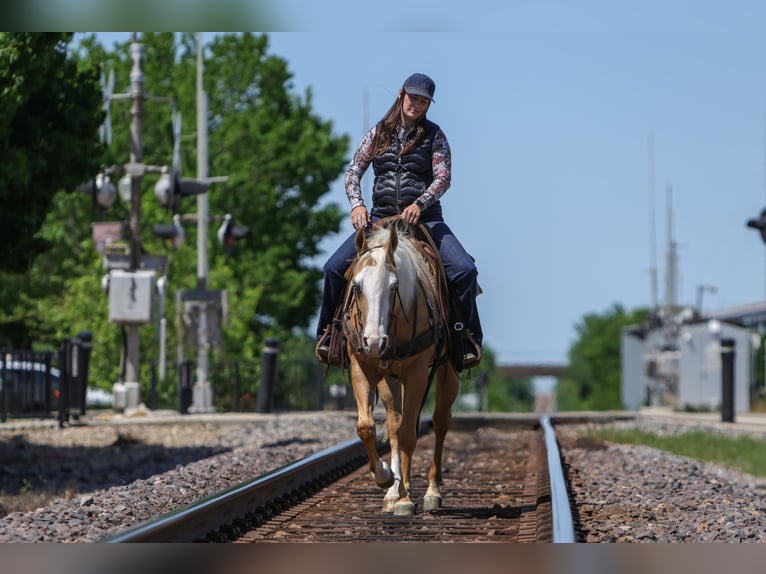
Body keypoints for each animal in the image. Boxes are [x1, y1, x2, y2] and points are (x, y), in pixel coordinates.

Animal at [342, 216, 460, 515]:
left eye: (394, 286)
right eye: (356, 286)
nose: (374, 342)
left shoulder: (417, 372)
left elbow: (409, 435)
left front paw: (406, 499)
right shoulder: (362, 367)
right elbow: (368, 427)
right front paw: (385, 479)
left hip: (447, 373)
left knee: (440, 423)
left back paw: (430, 493)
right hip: (390, 378)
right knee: (396, 423)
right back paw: (394, 491)